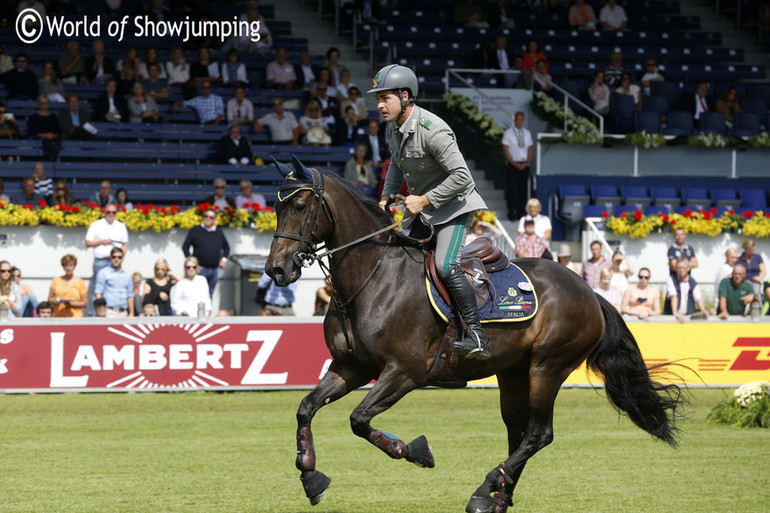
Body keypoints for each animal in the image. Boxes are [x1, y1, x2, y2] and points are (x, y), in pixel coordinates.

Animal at [266, 157, 684, 512]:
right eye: (276, 208)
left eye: (299, 207)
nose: (276, 270)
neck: (374, 277)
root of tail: (588, 291)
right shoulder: (350, 368)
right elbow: (306, 408)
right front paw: (310, 474)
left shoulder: (404, 373)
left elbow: (359, 419)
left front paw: (416, 451)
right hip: (514, 371)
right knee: (520, 432)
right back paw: (499, 497)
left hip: (548, 366)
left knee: (538, 434)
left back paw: (486, 489)